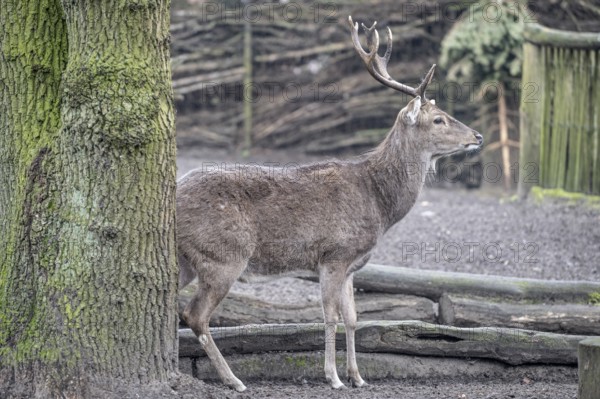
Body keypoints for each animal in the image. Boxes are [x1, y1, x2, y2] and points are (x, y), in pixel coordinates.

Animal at [177, 16, 482, 394]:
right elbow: (330, 315)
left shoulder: (352, 265)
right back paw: (234, 380)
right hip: (223, 255)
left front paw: (358, 376)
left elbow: (353, 318)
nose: (477, 136)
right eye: (438, 119)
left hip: (186, 259)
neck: (379, 202)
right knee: (195, 315)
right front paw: (333, 377)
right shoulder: (334, 255)